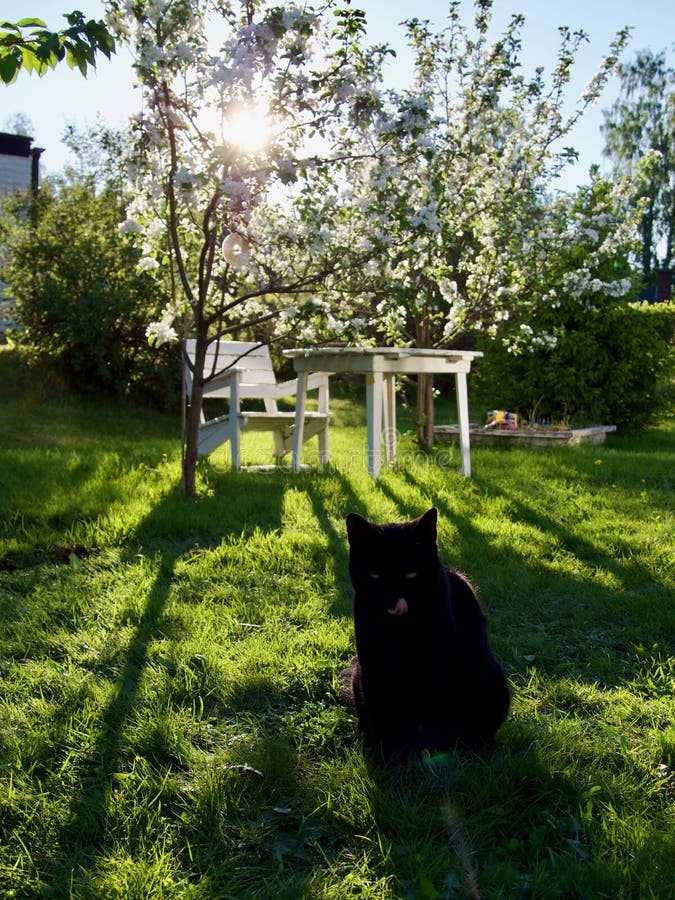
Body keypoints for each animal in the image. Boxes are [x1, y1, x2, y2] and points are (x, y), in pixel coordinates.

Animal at [340, 506, 510, 760]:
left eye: (411, 574)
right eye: (375, 576)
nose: (394, 598)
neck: (400, 629)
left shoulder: (437, 666)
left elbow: (428, 717)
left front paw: (422, 753)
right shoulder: (373, 664)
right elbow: (381, 712)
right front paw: (383, 755)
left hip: (492, 677)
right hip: (356, 676)